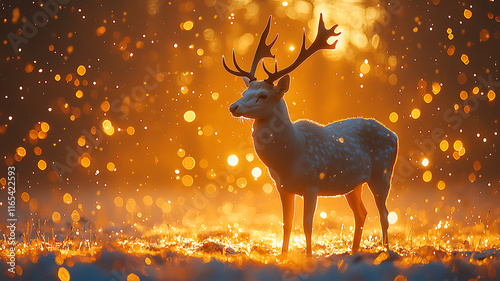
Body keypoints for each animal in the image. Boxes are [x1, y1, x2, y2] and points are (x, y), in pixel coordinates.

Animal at [223, 15, 398, 256]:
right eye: (244, 92)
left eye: (263, 95)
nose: (234, 107)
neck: (290, 154)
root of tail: (394, 135)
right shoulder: (283, 187)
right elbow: (286, 224)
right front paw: (284, 255)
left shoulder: (312, 183)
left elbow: (307, 223)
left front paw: (308, 256)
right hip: (353, 184)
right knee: (361, 213)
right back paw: (353, 252)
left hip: (382, 174)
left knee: (384, 214)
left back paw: (386, 251)